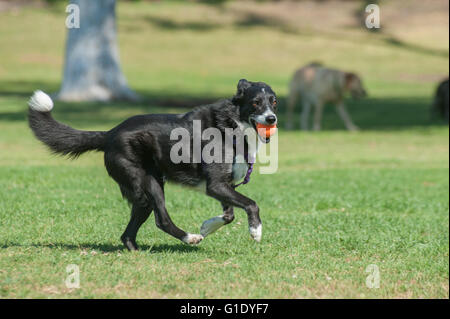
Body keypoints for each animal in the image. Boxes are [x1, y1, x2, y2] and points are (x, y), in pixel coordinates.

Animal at [28, 79, 278, 251]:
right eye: (256, 103)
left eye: (273, 102)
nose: (272, 119)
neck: (232, 124)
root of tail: (110, 134)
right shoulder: (216, 185)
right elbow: (251, 204)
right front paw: (256, 230)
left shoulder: (224, 186)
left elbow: (229, 215)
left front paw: (207, 226)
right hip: (147, 184)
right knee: (162, 220)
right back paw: (189, 238)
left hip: (144, 193)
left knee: (129, 233)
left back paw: (137, 251)